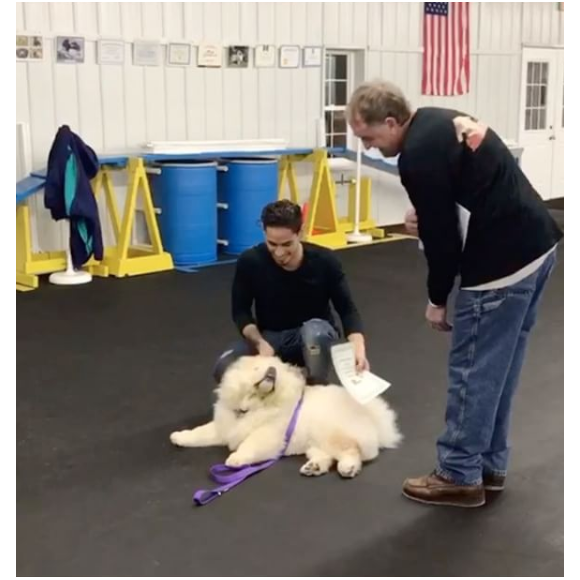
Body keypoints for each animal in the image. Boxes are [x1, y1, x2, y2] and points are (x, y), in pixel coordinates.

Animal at [170, 356, 402, 478]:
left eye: (276, 371)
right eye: (257, 367)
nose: (272, 369)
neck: (254, 406)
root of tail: (374, 416)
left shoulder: (269, 434)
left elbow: (249, 444)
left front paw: (235, 459)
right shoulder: (224, 427)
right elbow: (200, 433)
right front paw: (179, 437)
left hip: (331, 434)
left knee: (352, 450)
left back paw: (348, 468)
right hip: (315, 443)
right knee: (325, 457)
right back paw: (313, 467)